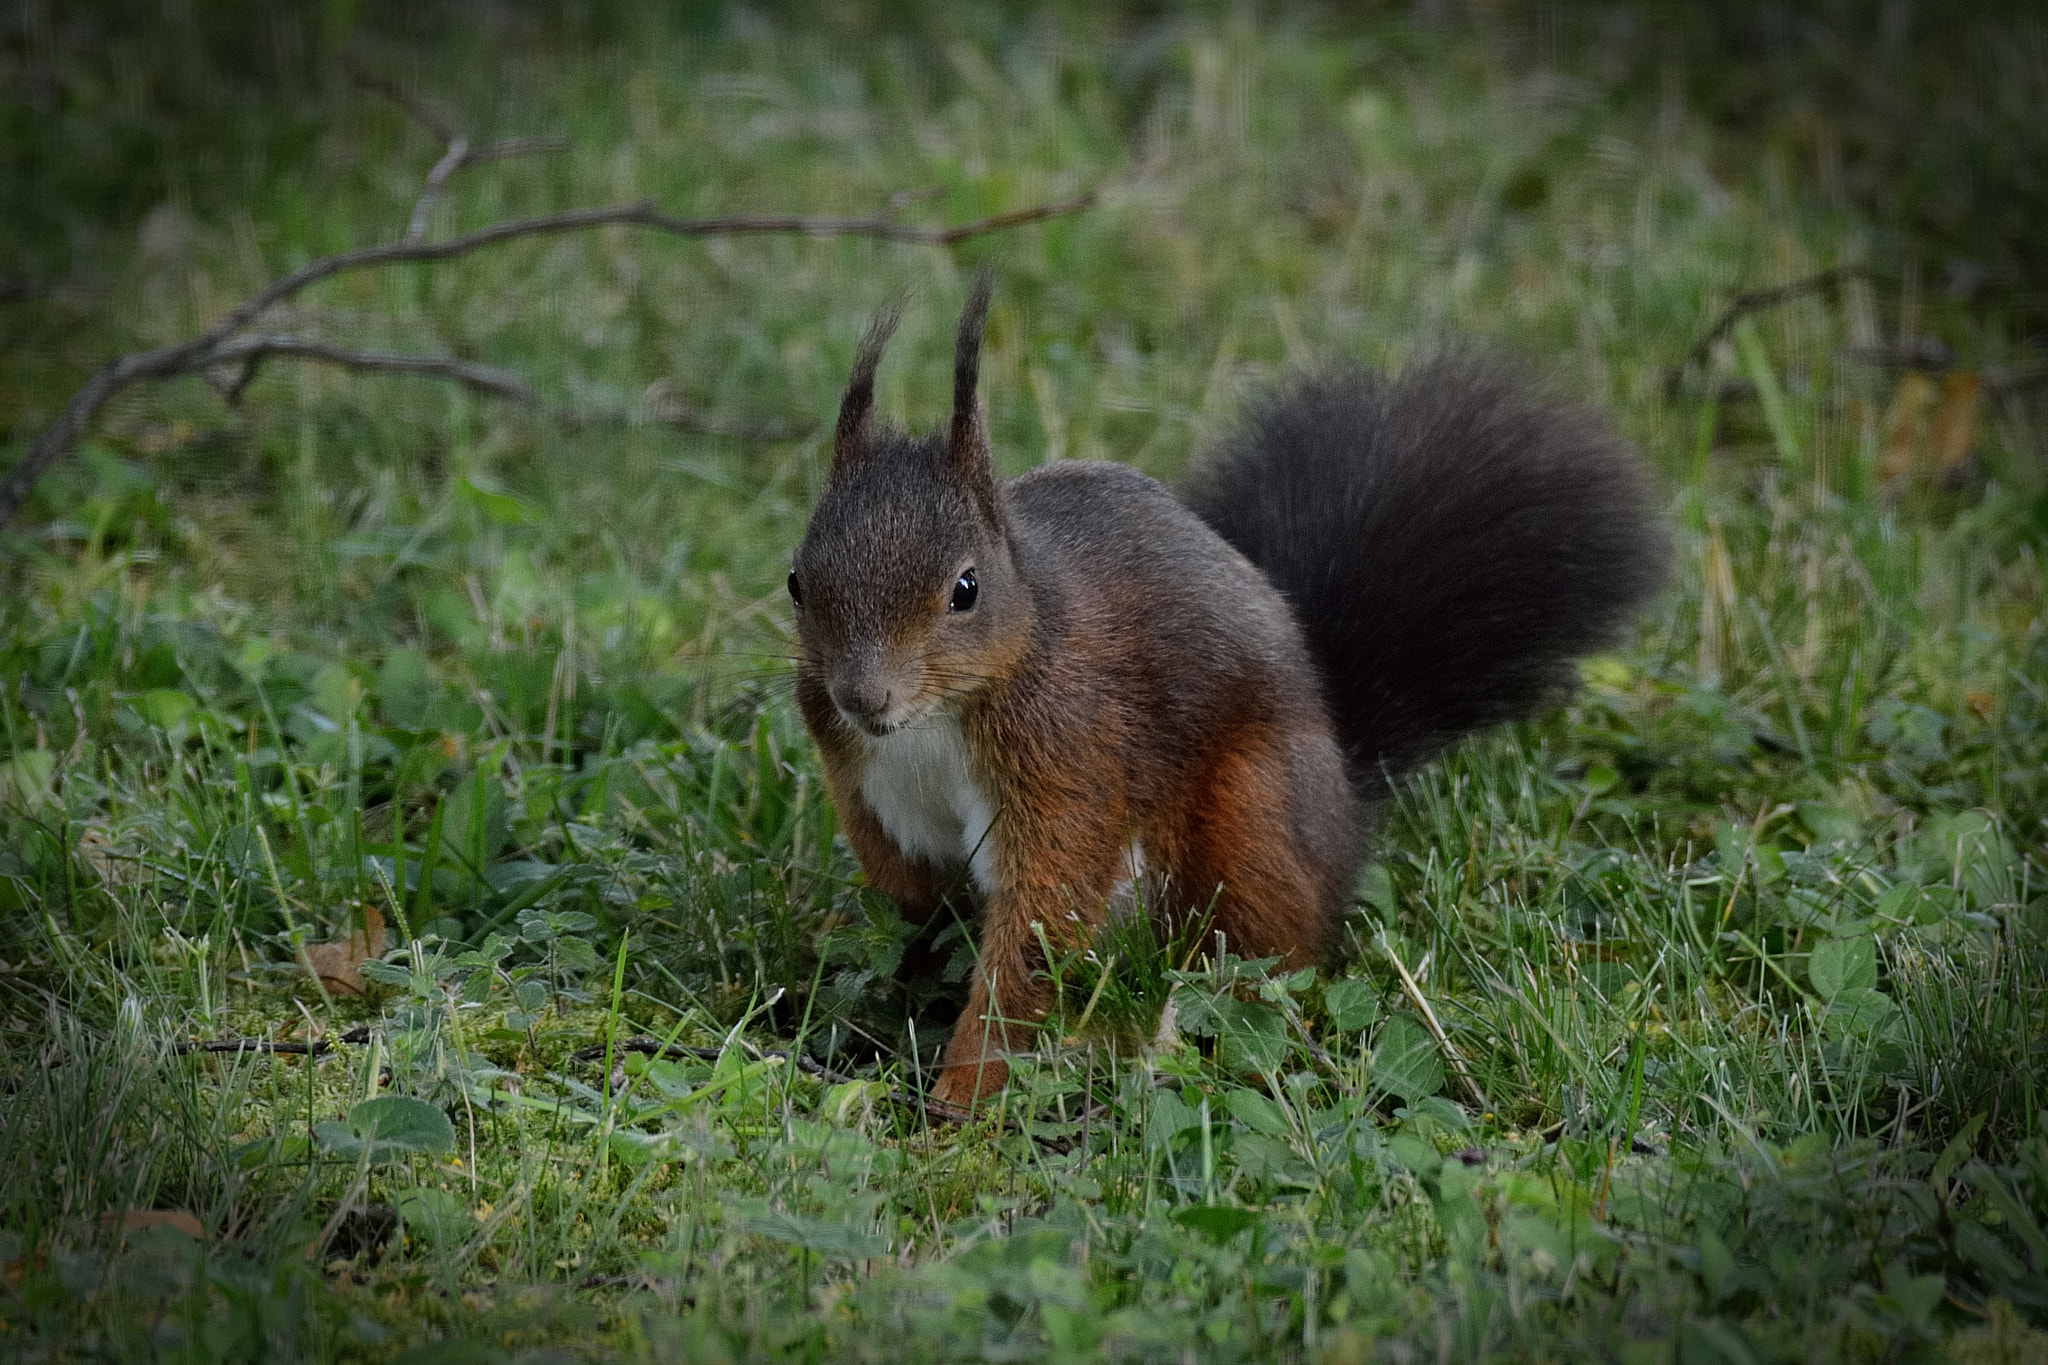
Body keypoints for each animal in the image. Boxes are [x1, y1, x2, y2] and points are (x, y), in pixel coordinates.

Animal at [782, 278, 1662, 1113]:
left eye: (965, 589)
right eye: (795, 580)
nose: (865, 697)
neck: (934, 720)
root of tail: (1345, 792)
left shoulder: (1072, 751)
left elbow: (1038, 926)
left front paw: (963, 1093)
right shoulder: (870, 789)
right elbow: (914, 906)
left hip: (1252, 814)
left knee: (1269, 948)